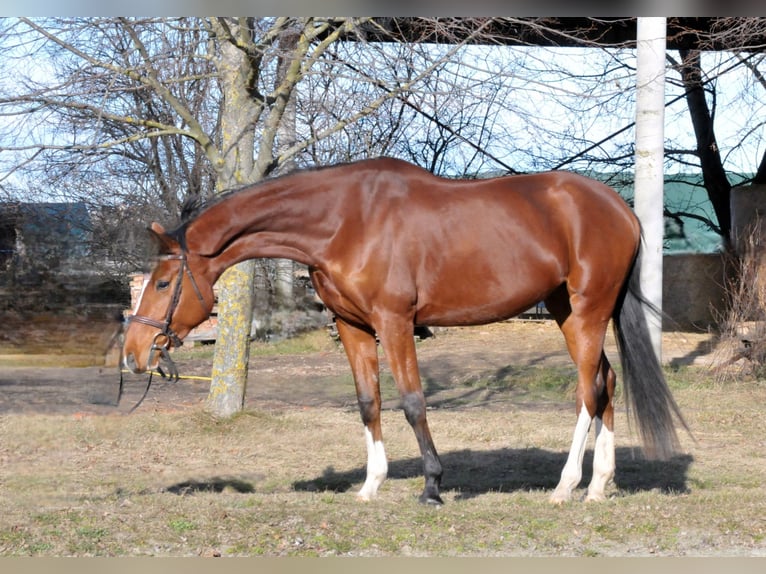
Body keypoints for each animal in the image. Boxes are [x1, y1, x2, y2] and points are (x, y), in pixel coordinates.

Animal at [122, 156, 688, 505]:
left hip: (588, 310)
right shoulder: (352, 327)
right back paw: (598, 487)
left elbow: (413, 401)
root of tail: (619, 208)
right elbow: (368, 403)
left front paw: (432, 486)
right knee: (605, 383)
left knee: (587, 392)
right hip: (566, 310)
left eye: (165, 282)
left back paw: (566, 486)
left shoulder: (394, 323)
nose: (134, 352)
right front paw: (371, 486)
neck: (344, 219)